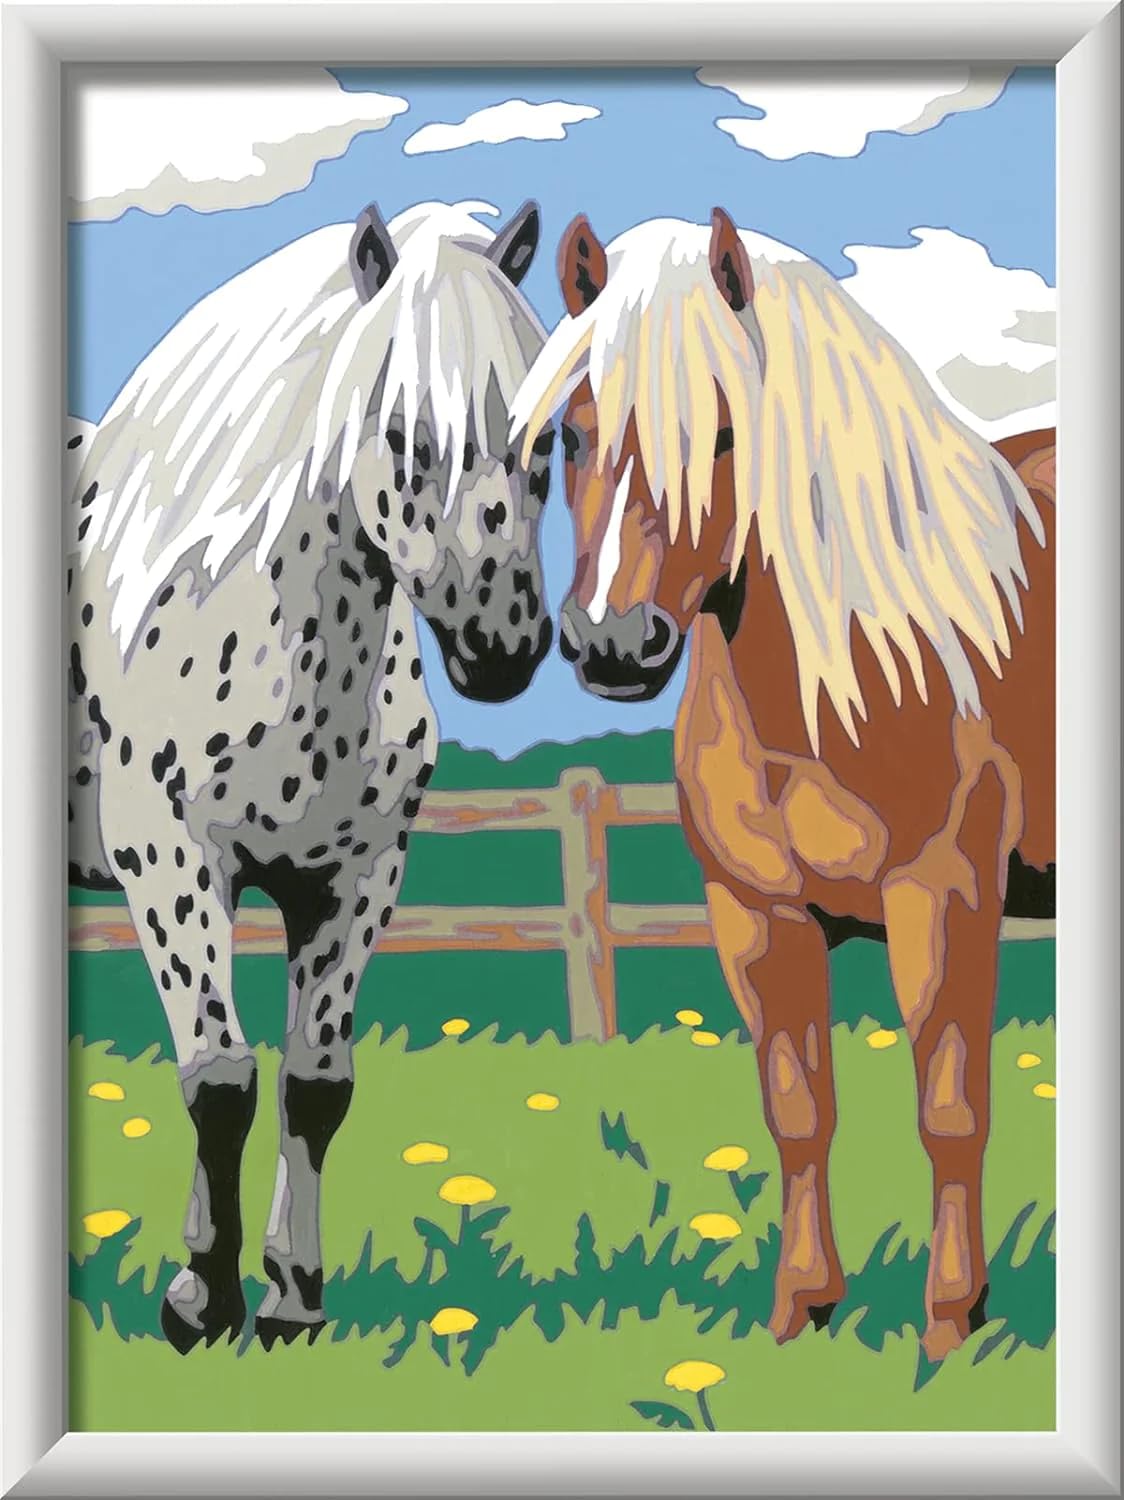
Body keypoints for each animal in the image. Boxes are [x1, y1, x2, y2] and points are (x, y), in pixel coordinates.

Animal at [68, 198, 555, 1352]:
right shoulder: (171, 863)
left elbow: (312, 1085)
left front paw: (291, 1296)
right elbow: (219, 1081)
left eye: (549, 437)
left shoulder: (350, 881)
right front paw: (203, 1299)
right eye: (405, 434)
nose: (503, 645)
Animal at [511, 207, 1055, 1361]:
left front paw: (950, 1326)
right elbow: (797, 1110)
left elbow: (949, 1105)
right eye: (572, 434)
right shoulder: (759, 917)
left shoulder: (942, 899)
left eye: (724, 432)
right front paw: (799, 1311)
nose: (613, 642)